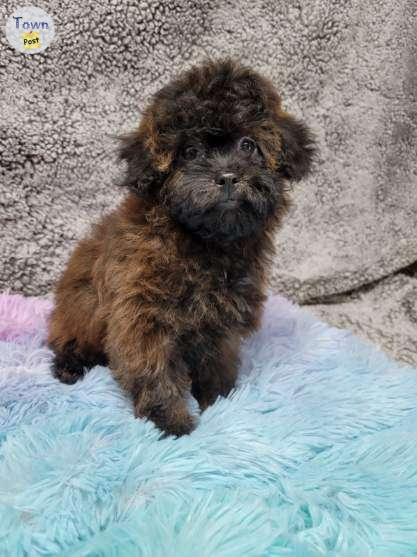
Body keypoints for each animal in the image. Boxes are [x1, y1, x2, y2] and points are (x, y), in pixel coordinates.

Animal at [48, 59, 316, 434]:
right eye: (190, 152)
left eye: (248, 145)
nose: (227, 176)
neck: (204, 242)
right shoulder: (142, 311)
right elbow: (153, 366)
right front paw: (171, 421)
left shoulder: (221, 316)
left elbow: (217, 360)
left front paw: (220, 401)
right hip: (78, 313)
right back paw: (69, 366)